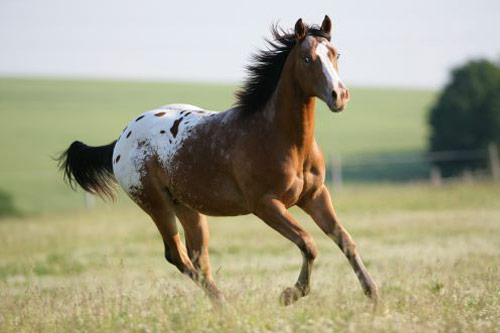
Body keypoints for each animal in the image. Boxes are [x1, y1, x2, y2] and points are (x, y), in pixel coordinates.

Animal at [58, 16, 376, 306]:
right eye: (307, 58)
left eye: (335, 54)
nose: (339, 95)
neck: (280, 137)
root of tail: (121, 139)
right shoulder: (266, 205)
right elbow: (309, 244)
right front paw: (289, 295)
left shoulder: (315, 195)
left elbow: (345, 240)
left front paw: (373, 295)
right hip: (156, 205)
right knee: (177, 256)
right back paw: (226, 305)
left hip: (187, 208)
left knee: (198, 258)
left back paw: (223, 306)